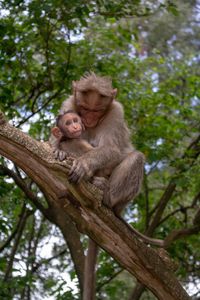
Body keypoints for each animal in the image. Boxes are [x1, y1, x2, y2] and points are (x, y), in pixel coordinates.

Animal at [51, 73, 145, 300]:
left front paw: (85, 164)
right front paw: (58, 149)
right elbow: (54, 138)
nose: (87, 120)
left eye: (97, 111)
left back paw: (105, 193)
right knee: (71, 142)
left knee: (135, 157)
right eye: (84, 108)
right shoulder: (68, 104)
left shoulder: (116, 111)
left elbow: (111, 148)